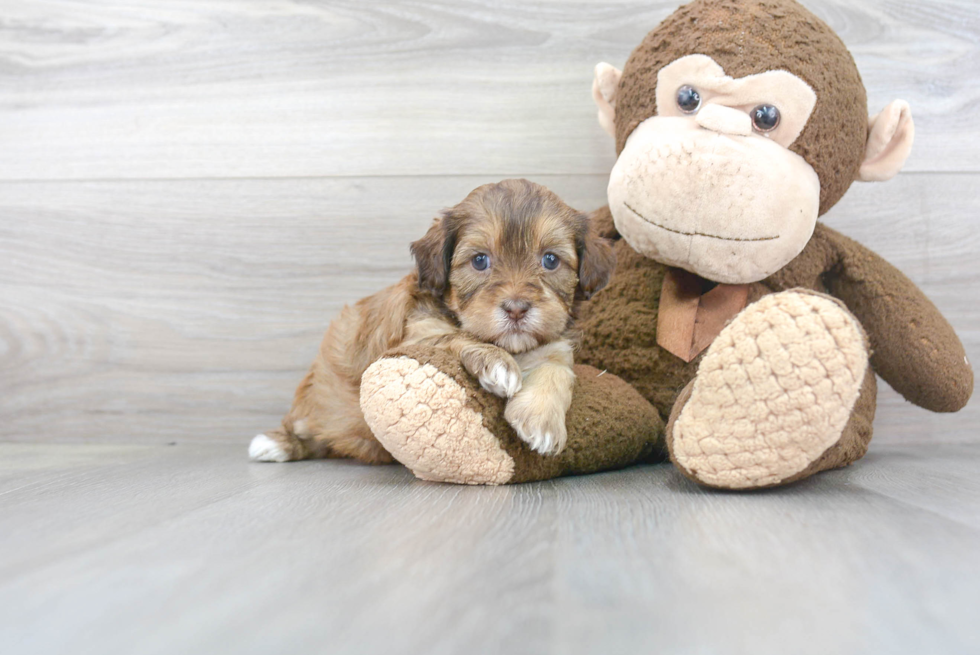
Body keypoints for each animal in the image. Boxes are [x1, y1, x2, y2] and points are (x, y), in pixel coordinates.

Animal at [247, 179, 612, 466]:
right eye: (480, 261)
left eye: (550, 260)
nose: (517, 308)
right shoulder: (414, 335)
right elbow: (454, 337)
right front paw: (497, 364)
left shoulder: (554, 346)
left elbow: (557, 369)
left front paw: (541, 421)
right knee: (302, 427)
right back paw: (275, 444)